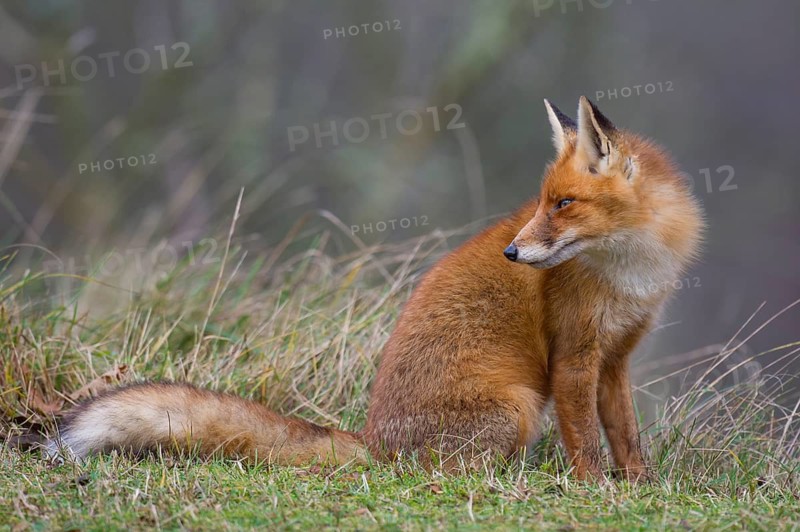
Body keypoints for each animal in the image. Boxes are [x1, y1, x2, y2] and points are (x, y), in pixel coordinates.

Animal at [46, 97, 703, 481]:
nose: (514, 253)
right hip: (516, 409)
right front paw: (594, 492)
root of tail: (375, 443)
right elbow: (587, 442)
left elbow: (625, 435)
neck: (631, 270)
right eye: (542, 202)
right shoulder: (573, 356)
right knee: (451, 473)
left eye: (564, 204)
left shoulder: (616, 356)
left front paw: (640, 487)